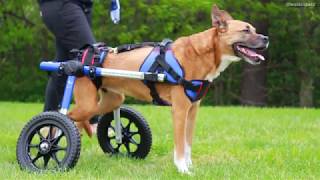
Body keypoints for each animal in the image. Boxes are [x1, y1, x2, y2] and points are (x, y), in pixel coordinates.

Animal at [69, 4, 268, 173]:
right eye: (245, 30)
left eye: (254, 29)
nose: (266, 39)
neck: (201, 53)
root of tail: (83, 55)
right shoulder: (179, 111)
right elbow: (179, 145)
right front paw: (182, 169)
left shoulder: (192, 111)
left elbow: (187, 145)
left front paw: (189, 166)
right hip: (87, 104)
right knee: (66, 117)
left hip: (110, 102)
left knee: (80, 122)